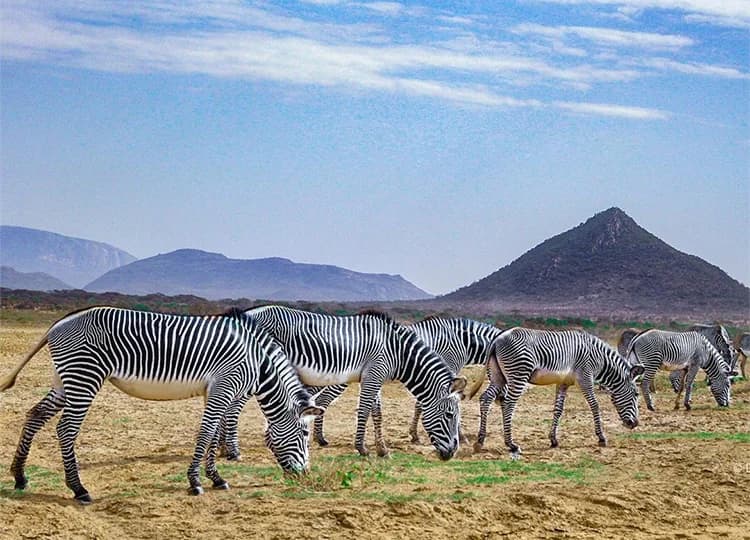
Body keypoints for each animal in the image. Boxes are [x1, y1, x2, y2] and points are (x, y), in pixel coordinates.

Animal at [0, 306, 323, 503]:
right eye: (303, 434)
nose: (304, 477)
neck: (260, 362)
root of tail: (59, 323)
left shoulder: (218, 392)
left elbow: (214, 434)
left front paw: (216, 478)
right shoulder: (225, 386)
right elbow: (206, 433)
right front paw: (195, 482)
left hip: (64, 380)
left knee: (34, 415)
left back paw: (20, 476)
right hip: (84, 377)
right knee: (66, 429)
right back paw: (78, 489)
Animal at [223, 306, 466, 460]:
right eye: (450, 415)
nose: (452, 453)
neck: (398, 350)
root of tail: (245, 314)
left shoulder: (373, 376)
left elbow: (377, 413)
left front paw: (382, 450)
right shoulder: (374, 374)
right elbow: (364, 411)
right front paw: (362, 448)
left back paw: (223, 449)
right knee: (232, 407)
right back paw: (232, 451)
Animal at [483, 327, 643, 458]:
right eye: (636, 394)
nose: (635, 424)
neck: (600, 358)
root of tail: (497, 338)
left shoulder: (563, 382)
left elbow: (558, 409)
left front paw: (553, 439)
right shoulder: (585, 378)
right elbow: (595, 405)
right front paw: (601, 437)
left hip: (499, 377)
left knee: (486, 398)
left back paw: (480, 440)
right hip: (519, 374)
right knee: (508, 404)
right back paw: (511, 444)